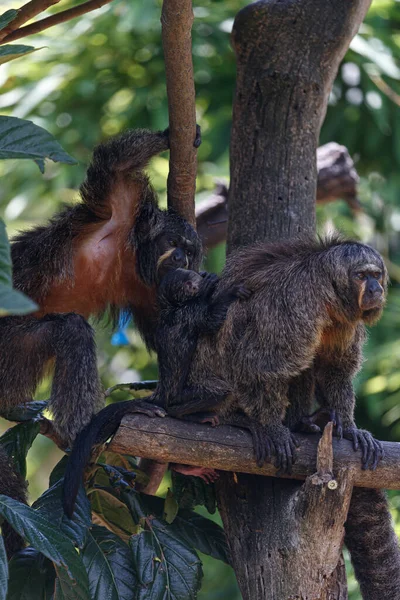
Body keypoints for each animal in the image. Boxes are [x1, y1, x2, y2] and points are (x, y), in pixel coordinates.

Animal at [0, 127, 200, 446]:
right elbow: (113, 165)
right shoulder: (121, 207)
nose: (181, 257)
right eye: (172, 242)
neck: (131, 258)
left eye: (189, 251)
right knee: (72, 331)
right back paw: (83, 429)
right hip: (7, 345)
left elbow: (165, 334)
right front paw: (171, 135)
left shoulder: (151, 290)